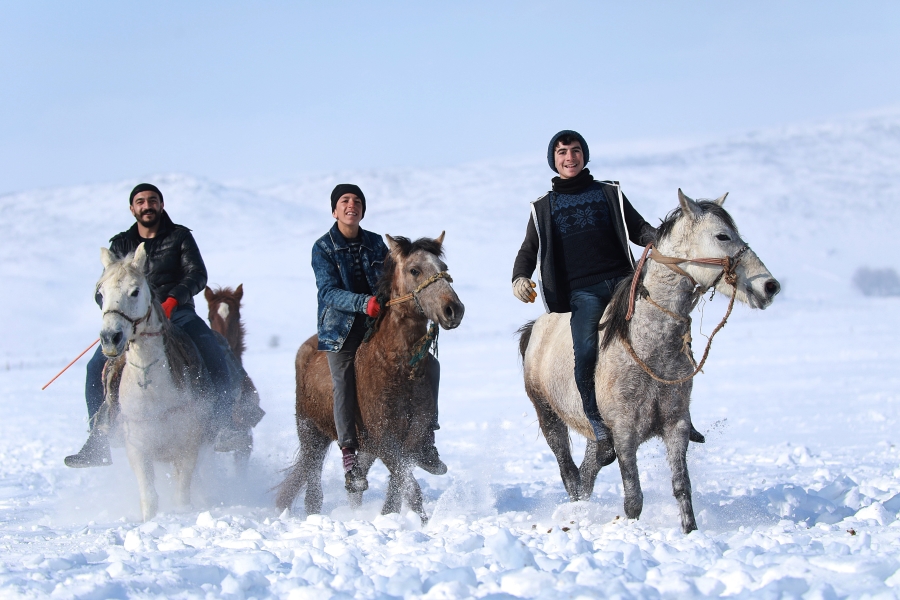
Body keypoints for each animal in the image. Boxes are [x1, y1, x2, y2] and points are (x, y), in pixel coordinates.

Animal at [96, 244, 215, 520]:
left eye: (135, 291)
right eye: (100, 294)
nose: (110, 338)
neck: (152, 393)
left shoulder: (188, 446)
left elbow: (182, 495)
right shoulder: (138, 450)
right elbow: (149, 499)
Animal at [276, 232, 464, 524]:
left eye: (443, 268)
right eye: (414, 270)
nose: (453, 309)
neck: (396, 367)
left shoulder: (409, 436)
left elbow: (401, 479)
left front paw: (399, 516)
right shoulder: (383, 437)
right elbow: (408, 484)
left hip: (361, 447)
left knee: (356, 483)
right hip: (311, 434)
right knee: (313, 482)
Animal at [520, 190, 780, 532]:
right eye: (722, 236)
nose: (770, 286)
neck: (651, 347)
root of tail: (534, 328)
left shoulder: (676, 425)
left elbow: (682, 486)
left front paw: (690, 531)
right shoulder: (624, 432)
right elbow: (633, 498)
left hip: (595, 435)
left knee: (588, 472)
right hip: (548, 416)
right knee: (569, 473)